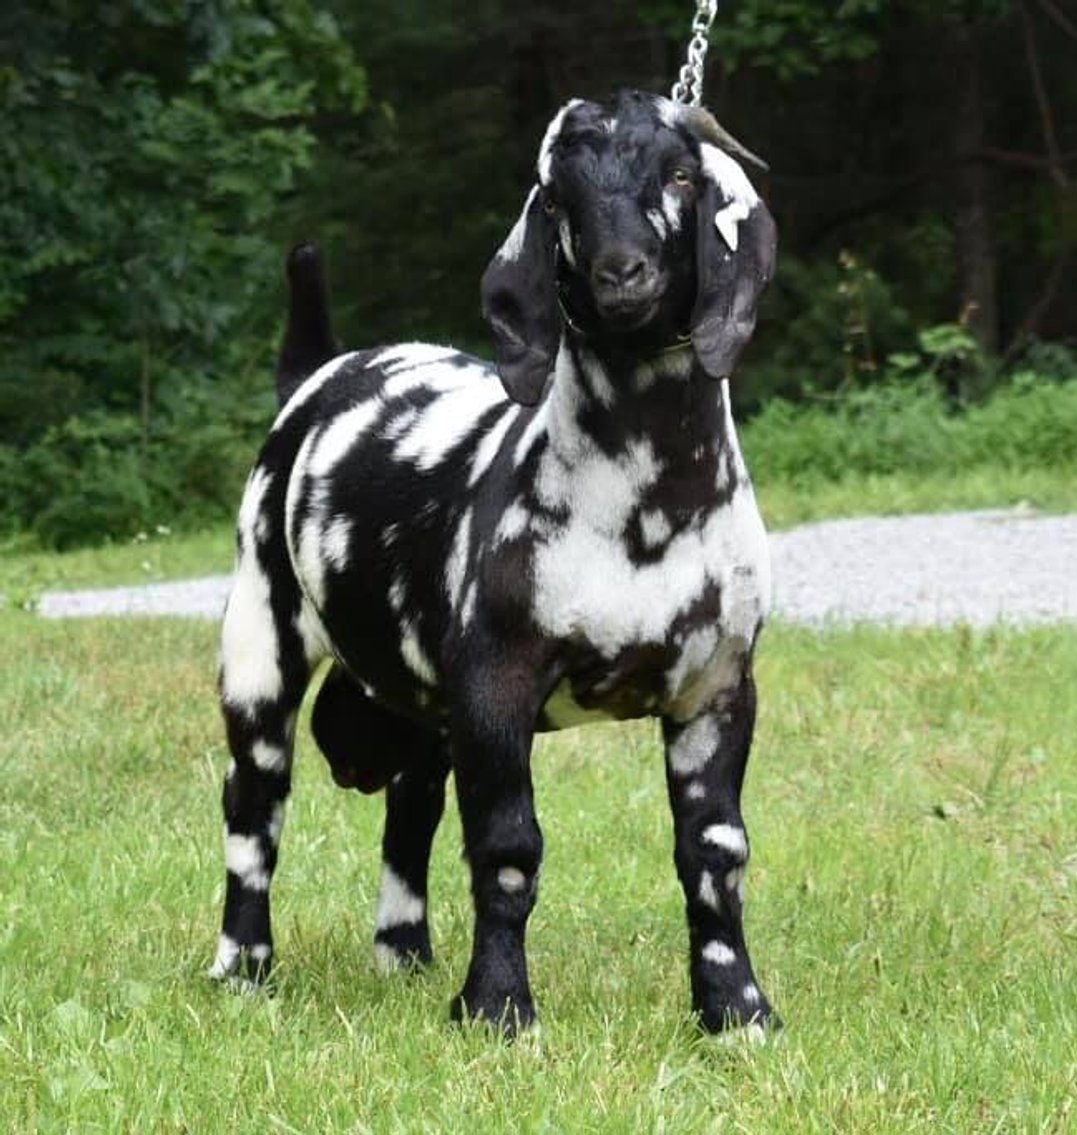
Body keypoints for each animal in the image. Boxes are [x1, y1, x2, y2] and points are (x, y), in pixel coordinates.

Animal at [211, 90, 778, 1036]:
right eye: (555, 195)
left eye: (679, 174)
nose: (622, 273)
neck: (645, 499)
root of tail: (320, 373)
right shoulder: (495, 685)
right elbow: (507, 851)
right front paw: (498, 1006)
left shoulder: (716, 689)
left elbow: (714, 854)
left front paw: (736, 1010)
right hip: (261, 642)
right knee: (255, 809)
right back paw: (243, 966)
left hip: (421, 704)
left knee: (410, 806)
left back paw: (402, 950)